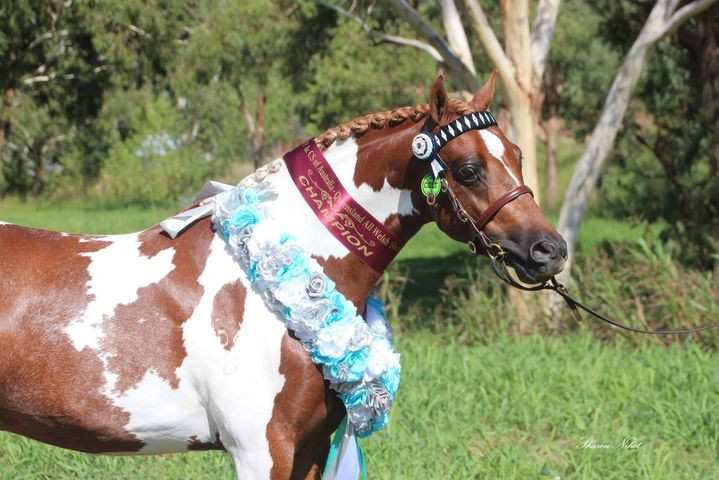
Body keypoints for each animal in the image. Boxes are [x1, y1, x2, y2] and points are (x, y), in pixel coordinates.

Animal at [0, 72, 566, 479]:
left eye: (518, 155)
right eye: (468, 170)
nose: (550, 251)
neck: (265, 291)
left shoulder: (310, 448)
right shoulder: (261, 450)